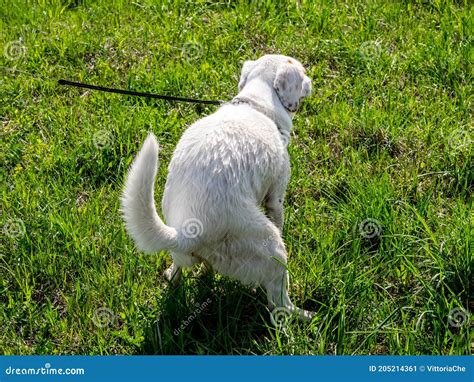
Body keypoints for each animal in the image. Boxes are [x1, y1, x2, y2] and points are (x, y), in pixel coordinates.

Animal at [121, 53, 314, 320]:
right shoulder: (275, 197)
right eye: (302, 72)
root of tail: (187, 232)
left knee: (177, 273)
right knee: (279, 304)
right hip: (271, 248)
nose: (312, 80)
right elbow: (279, 216)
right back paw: (305, 315)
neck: (256, 104)